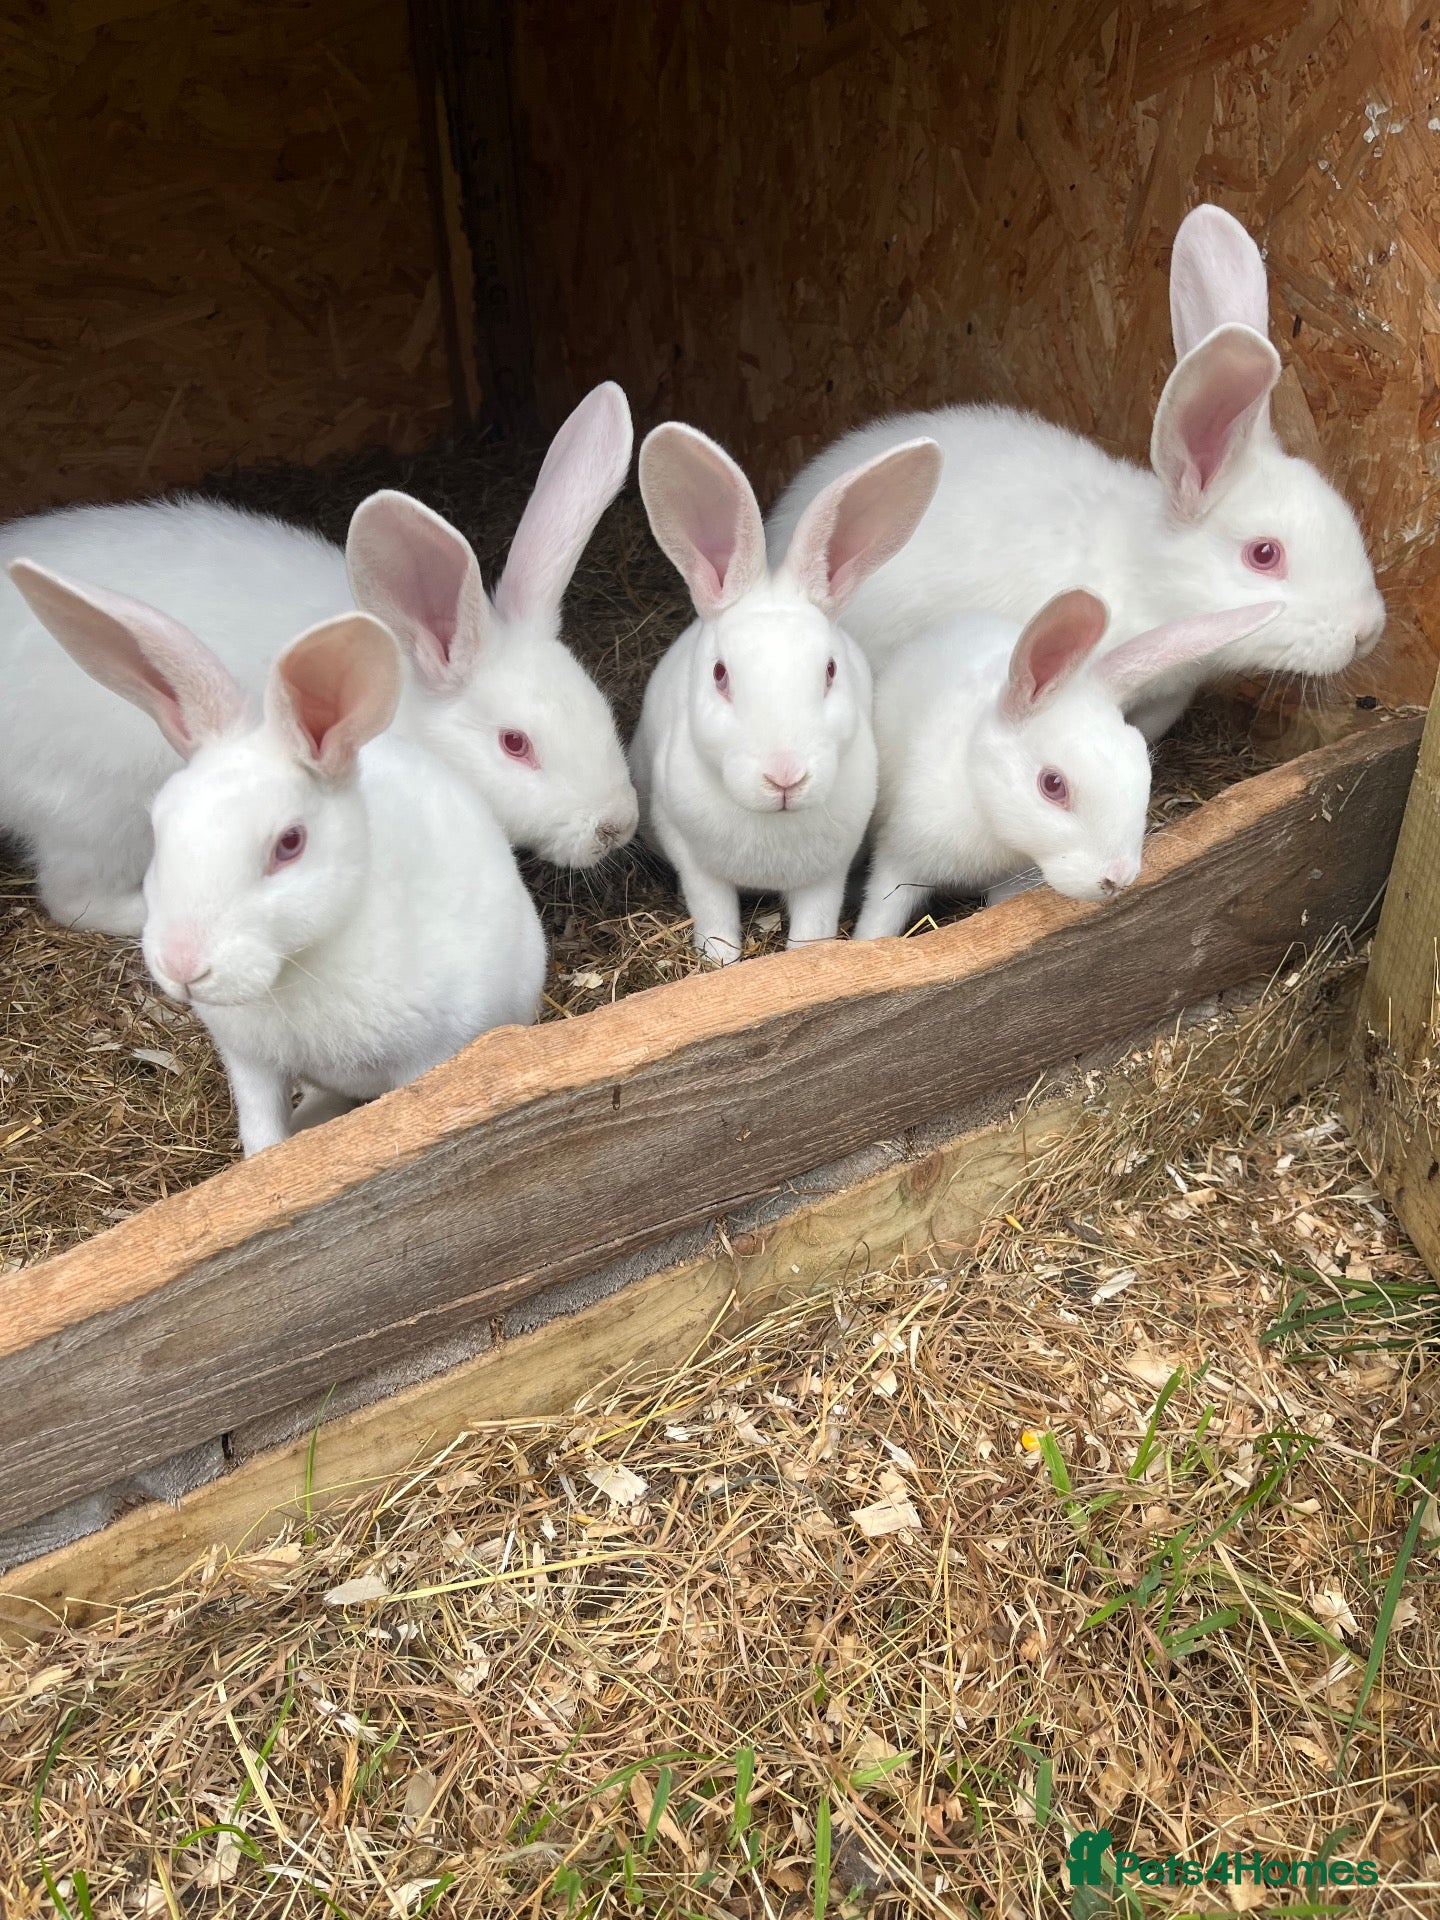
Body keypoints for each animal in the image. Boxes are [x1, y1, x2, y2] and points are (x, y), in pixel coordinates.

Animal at [8, 558, 547, 1158]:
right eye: (158, 825)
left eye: (289, 843)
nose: (183, 967)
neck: (296, 965)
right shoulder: (251, 1063)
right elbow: (261, 1128)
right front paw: (267, 1162)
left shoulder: (428, 1059)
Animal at [630, 421, 942, 963]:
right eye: (720, 674)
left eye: (830, 671)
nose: (785, 777)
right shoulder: (694, 861)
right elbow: (716, 923)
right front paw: (720, 963)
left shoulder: (827, 873)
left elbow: (812, 929)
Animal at [852, 588, 1282, 940]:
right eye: (1052, 785)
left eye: (1144, 768)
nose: (1118, 878)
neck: (986, 816)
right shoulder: (898, 860)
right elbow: (880, 919)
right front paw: (864, 943)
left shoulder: (1009, 884)